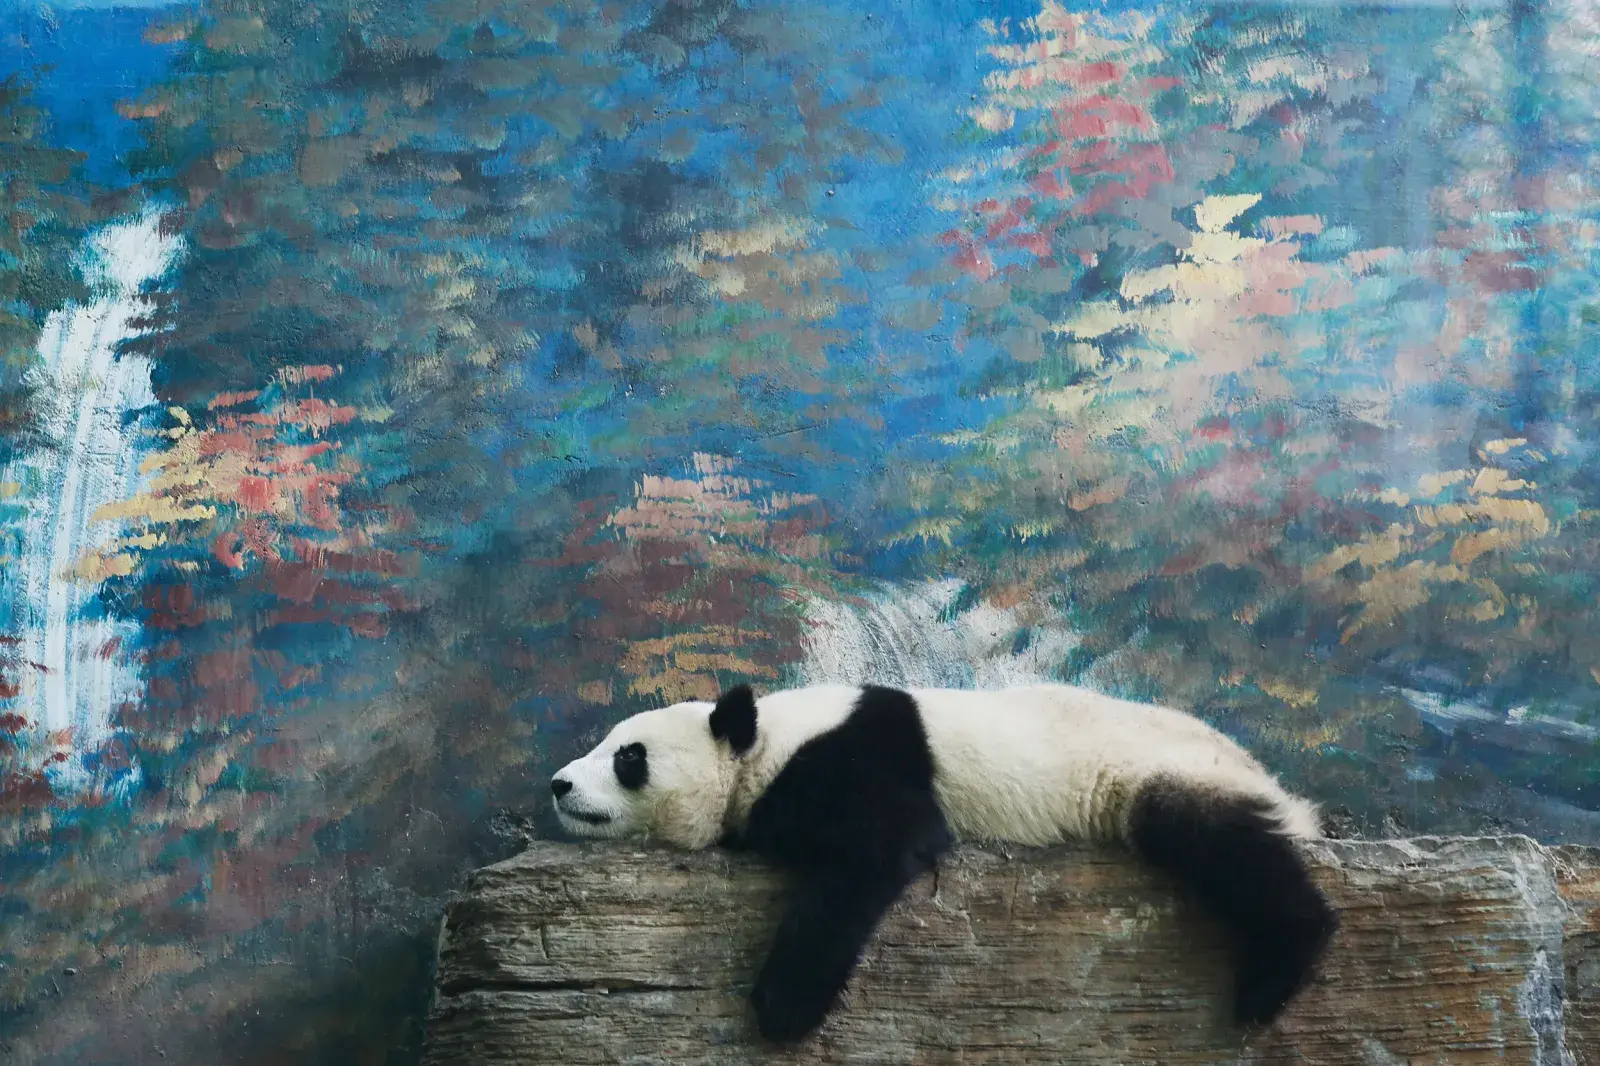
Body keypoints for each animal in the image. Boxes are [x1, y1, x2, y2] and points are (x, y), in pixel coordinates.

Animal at [550, 682, 1338, 1044]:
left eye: (628, 757)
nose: (558, 784)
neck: (760, 741)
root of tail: (1280, 788)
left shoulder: (843, 760)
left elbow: (885, 846)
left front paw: (782, 1010)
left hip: (1153, 772)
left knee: (1225, 848)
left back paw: (1271, 978)